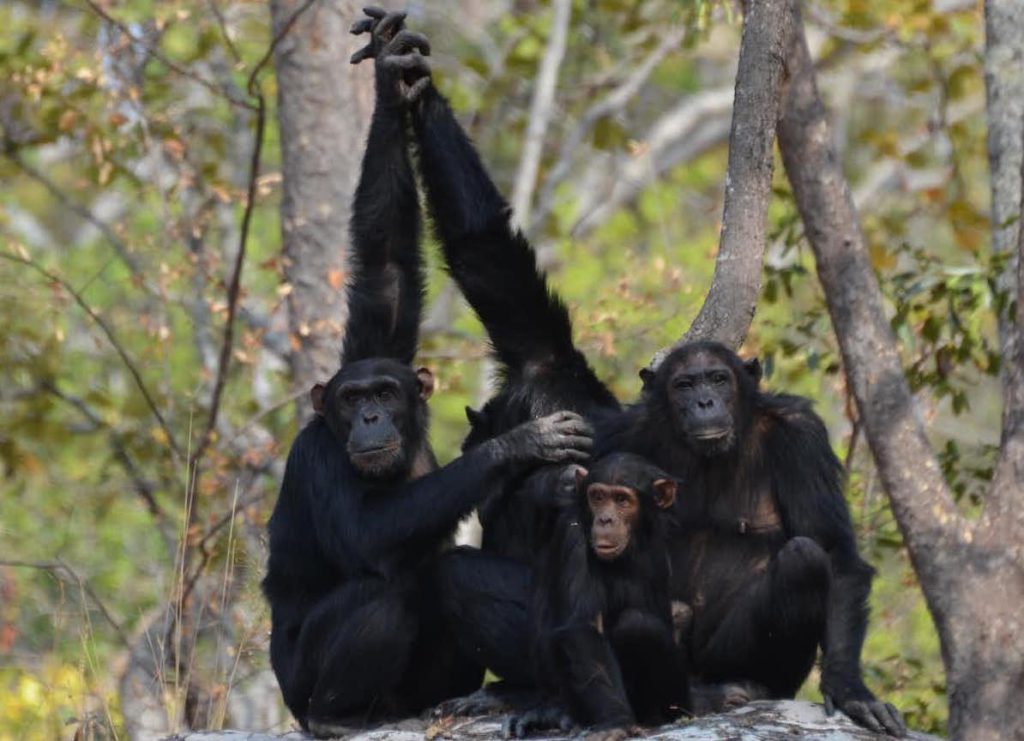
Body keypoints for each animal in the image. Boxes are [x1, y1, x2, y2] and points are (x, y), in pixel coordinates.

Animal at [262, 13, 593, 736]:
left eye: (384, 392)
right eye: (352, 399)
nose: (369, 416)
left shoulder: (380, 338)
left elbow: (385, 268)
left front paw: (395, 81)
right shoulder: (316, 455)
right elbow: (368, 535)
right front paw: (520, 446)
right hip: (295, 689)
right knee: (382, 594)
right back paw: (337, 716)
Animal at [509, 452, 692, 741]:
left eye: (622, 500)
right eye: (598, 497)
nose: (605, 520)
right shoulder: (573, 536)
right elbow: (582, 628)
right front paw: (616, 722)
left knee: (638, 625)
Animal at [598, 343, 909, 736]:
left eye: (718, 379)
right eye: (684, 385)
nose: (704, 402)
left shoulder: (802, 436)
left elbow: (832, 550)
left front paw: (850, 691)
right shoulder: (620, 435)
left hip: (725, 661)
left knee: (803, 559)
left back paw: (751, 686)